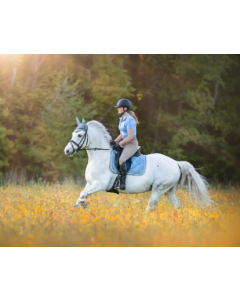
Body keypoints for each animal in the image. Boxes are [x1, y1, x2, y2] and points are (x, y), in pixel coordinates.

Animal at [64, 118, 214, 212]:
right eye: (72, 133)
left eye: (79, 135)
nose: (67, 151)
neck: (100, 156)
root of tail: (176, 163)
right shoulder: (89, 183)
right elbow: (80, 197)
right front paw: (78, 211)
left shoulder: (100, 184)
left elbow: (82, 195)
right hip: (168, 191)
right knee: (177, 205)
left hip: (158, 188)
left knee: (151, 207)